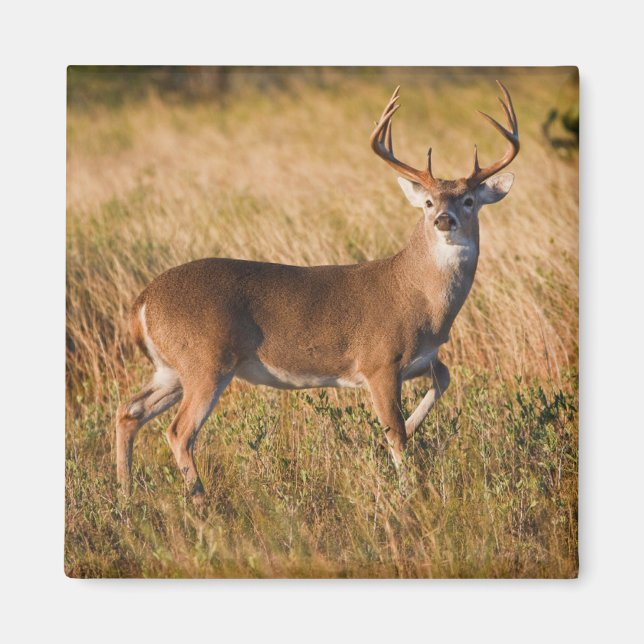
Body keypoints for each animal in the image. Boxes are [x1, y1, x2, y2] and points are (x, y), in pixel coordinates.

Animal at [116, 81, 519, 503]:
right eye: (427, 201)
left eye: (469, 200)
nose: (444, 219)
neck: (420, 298)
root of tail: (142, 302)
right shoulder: (379, 361)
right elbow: (396, 434)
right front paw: (408, 495)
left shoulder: (422, 359)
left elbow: (443, 379)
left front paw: (405, 431)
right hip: (205, 362)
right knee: (179, 432)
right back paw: (200, 503)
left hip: (170, 368)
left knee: (129, 412)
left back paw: (125, 497)